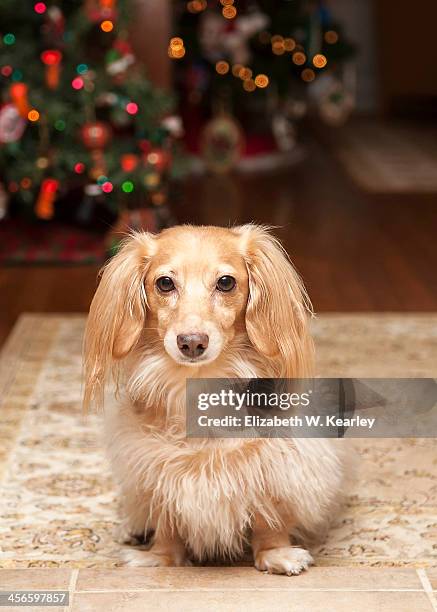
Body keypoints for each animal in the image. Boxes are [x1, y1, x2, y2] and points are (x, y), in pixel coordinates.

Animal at [82, 224, 344, 572]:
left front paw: (275, 553)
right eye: (165, 283)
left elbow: (268, 516)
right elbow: (166, 517)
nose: (191, 342)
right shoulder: (159, 466)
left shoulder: (272, 462)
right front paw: (160, 557)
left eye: (225, 282)